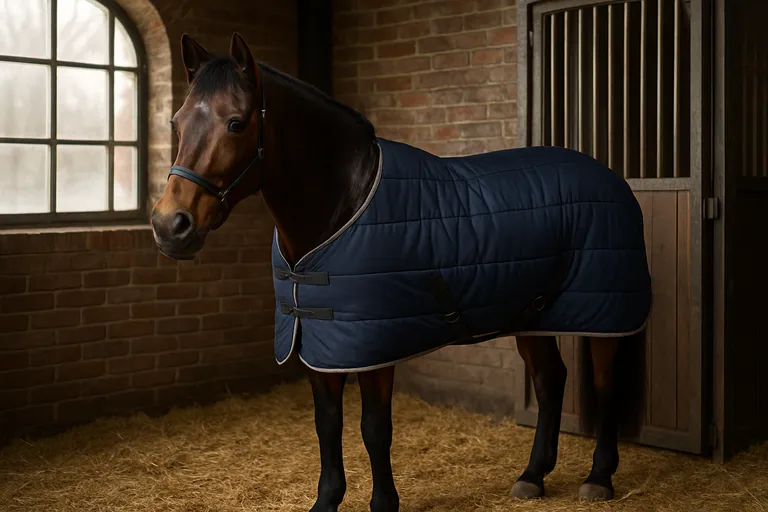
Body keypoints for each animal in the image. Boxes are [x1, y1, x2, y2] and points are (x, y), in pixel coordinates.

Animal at [151, 32, 651, 512]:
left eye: (236, 123)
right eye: (176, 122)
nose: (170, 225)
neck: (343, 206)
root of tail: (610, 176)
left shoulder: (373, 346)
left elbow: (374, 427)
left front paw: (383, 503)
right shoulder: (320, 343)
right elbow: (327, 424)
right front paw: (326, 500)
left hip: (604, 315)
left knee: (605, 385)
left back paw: (598, 478)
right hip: (533, 316)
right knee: (550, 381)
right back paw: (532, 476)